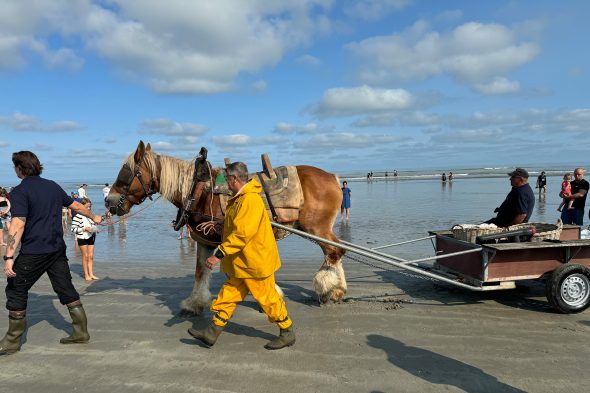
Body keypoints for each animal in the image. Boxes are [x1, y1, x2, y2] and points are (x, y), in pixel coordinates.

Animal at [106, 139, 346, 314]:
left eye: (125, 172)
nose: (108, 201)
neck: (199, 192)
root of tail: (332, 177)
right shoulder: (204, 240)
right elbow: (200, 271)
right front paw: (195, 303)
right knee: (337, 251)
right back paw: (338, 290)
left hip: (317, 228)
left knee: (334, 252)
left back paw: (329, 289)